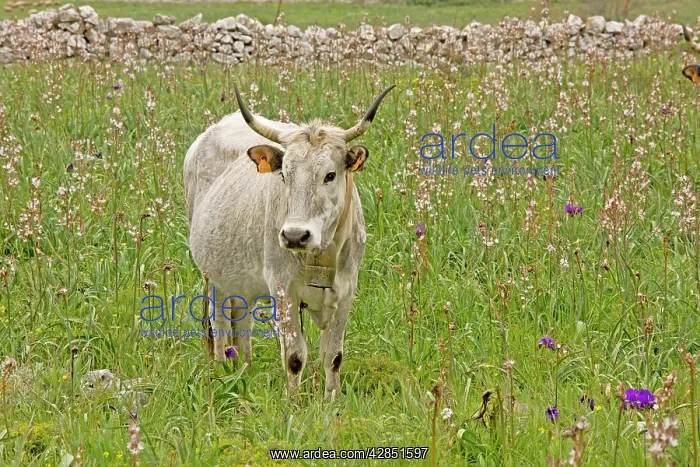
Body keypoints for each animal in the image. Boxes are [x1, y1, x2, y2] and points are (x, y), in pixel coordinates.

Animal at [184, 84, 395, 398]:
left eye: (330, 175)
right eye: (284, 174)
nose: (295, 235)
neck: (322, 254)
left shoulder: (347, 290)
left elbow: (333, 356)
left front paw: (331, 400)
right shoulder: (283, 289)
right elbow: (294, 356)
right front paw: (293, 402)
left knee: (241, 321)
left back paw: (244, 369)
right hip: (213, 275)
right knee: (219, 322)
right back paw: (221, 370)